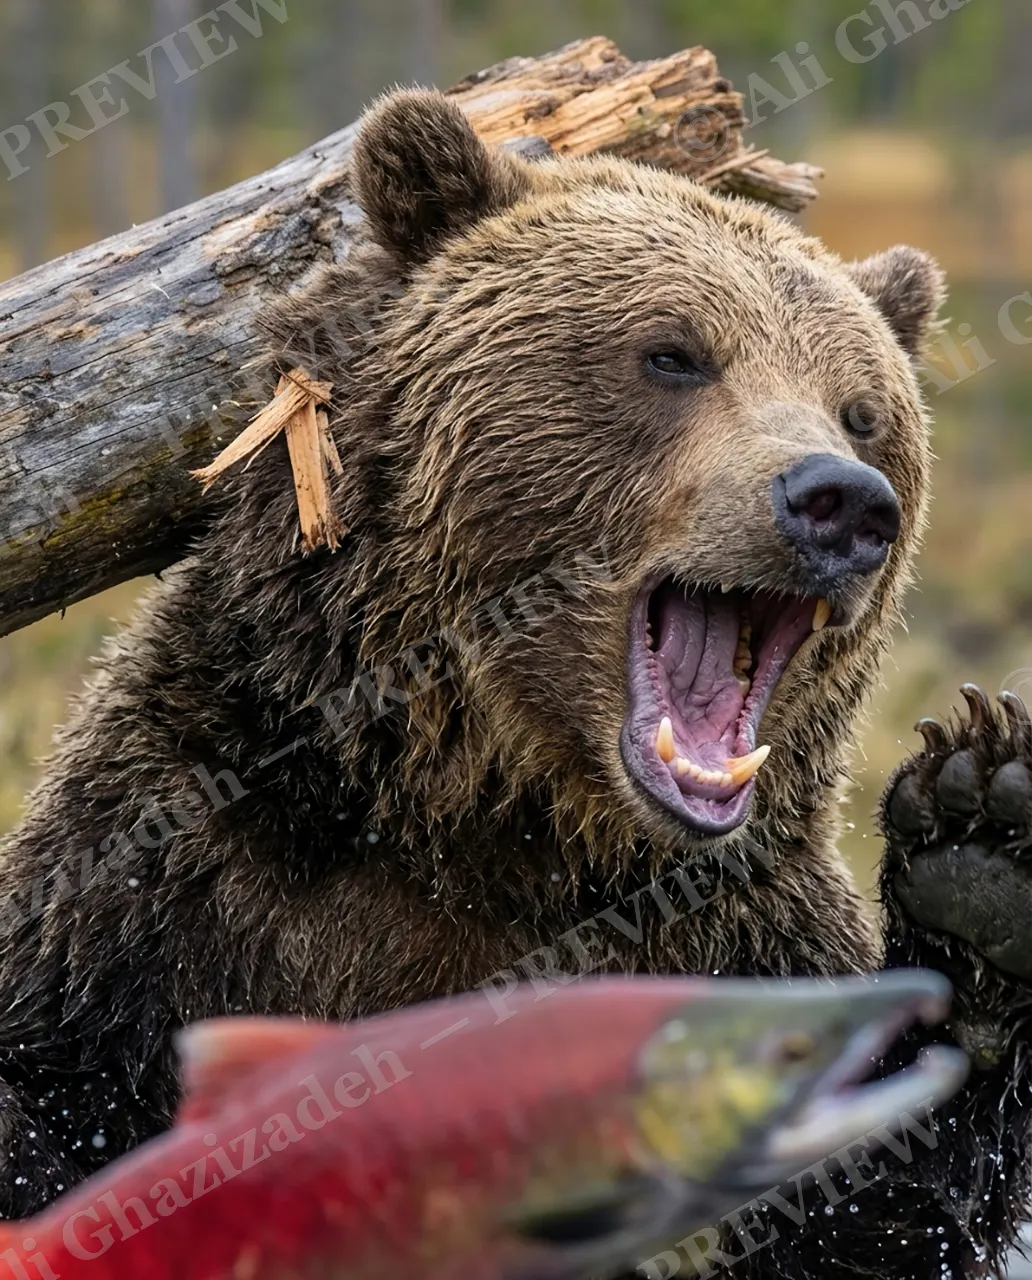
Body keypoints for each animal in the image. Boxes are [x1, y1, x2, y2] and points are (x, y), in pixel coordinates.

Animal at [0, 87, 1029, 1278]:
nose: (843, 500)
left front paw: (979, 841)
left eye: (865, 409)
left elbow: (864, 1206)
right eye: (673, 354)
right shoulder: (165, 894)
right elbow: (65, 1102)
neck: (494, 819)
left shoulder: (740, 927)